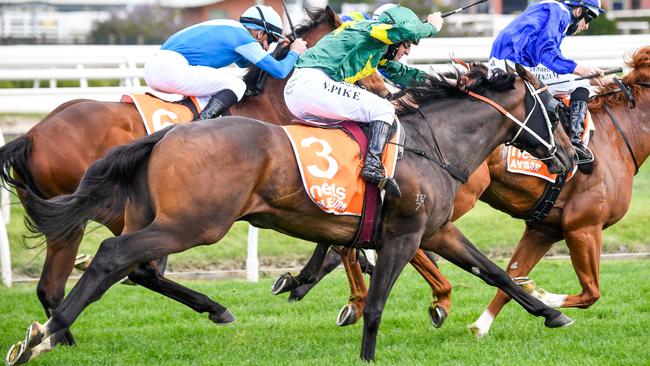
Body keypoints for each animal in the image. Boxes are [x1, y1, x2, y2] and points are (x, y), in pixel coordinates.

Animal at [0, 7, 344, 346]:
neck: (265, 105)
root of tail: (30, 135)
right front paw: (301, 282)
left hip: (71, 220)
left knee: (53, 286)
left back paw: (58, 338)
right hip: (107, 213)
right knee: (134, 266)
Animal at [6, 63, 572, 364]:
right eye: (554, 109)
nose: (574, 159)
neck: (431, 145)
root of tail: (167, 133)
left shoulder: (435, 232)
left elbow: (496, 271)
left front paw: (552, 313)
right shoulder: (403, 236)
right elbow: (375, 304)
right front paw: (368, 352)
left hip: (158, 219)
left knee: (132, 268)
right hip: (195, 224)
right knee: (109, 256)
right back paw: (46, 335)